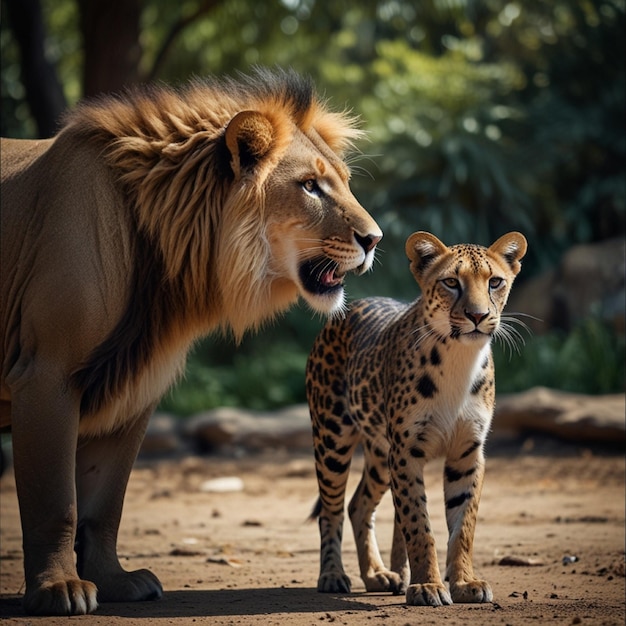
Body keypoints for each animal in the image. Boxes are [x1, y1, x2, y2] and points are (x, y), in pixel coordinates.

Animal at [1, 66, 380, 612]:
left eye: (344, 184)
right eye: (310, 186)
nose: (375, 240)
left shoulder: (133, 391)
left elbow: (104, 505)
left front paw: (114, 581)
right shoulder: (45, 374)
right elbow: (57, 502)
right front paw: (59, 590)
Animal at [304, 229, 524, 604]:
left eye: (495, 282)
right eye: (451, 282)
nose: (478, 315)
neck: (459, 359)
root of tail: (347, 308)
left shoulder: (467, 454)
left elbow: (463, 526)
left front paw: (464, 582)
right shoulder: (406, 453)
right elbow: (419, 524)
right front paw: (428, 586)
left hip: (381, 455)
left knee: (359, 505)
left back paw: (379, 575)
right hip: (332, 437)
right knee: (332, 510)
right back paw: (333, 575)